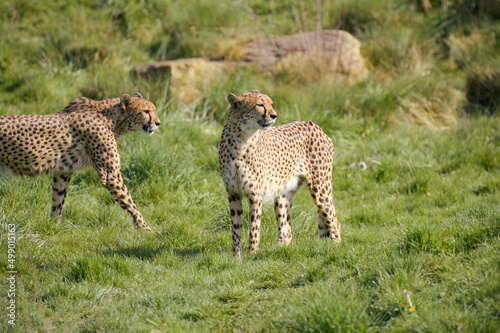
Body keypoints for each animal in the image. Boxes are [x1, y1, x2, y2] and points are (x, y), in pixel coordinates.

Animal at [0, 92, 160, 230]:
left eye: (154, 109)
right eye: (146, 111)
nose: (158, 123)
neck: (110, 117)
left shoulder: (63, 170)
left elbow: (58, 198)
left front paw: (54, 225)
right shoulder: (111, 175)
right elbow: (130, 202)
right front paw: (147, 231)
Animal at [219, 89, 340, 256]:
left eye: (270, 103)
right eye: (260, 105)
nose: (274, 115)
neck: (242, 139)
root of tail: (314, 125)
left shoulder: (255, 194)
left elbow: (254, 227)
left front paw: (252, 255)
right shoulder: (233, 192)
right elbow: (236, 228)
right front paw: (237, 257)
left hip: (320, 188)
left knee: (334, 220)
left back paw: (337, 247)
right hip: (282, 193)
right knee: (287, 230)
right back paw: (280, 249)